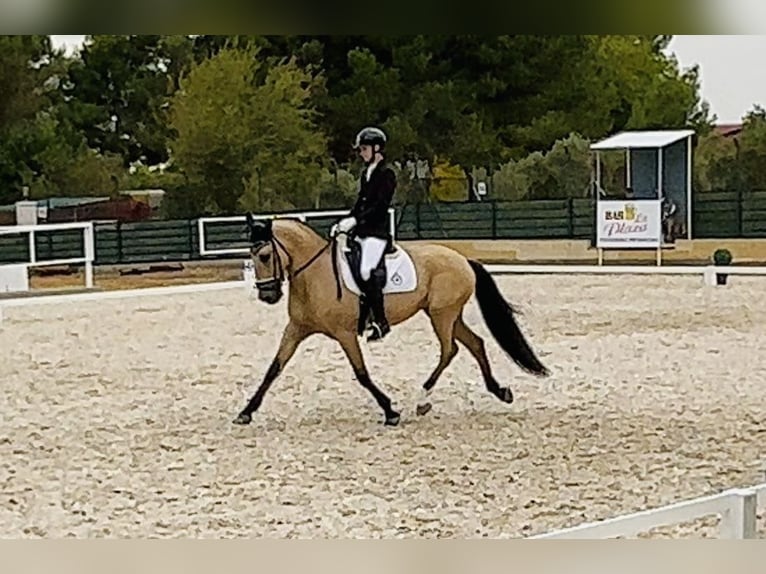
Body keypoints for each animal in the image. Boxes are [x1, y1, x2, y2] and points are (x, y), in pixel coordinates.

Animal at [231, 215, 548, 428]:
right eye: (251, 256)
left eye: (264, 255)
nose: (268, 295)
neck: (314, 273)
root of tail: (462, 259)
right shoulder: (296, 329)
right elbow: (274, 369)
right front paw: (246, 412)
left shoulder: (344, 333)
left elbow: (361, 374)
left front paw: (390, 411)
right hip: (446, 314)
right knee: (475, 344)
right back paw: (500, 391)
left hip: (441, 315)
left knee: (450, 350)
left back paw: (422, 400)